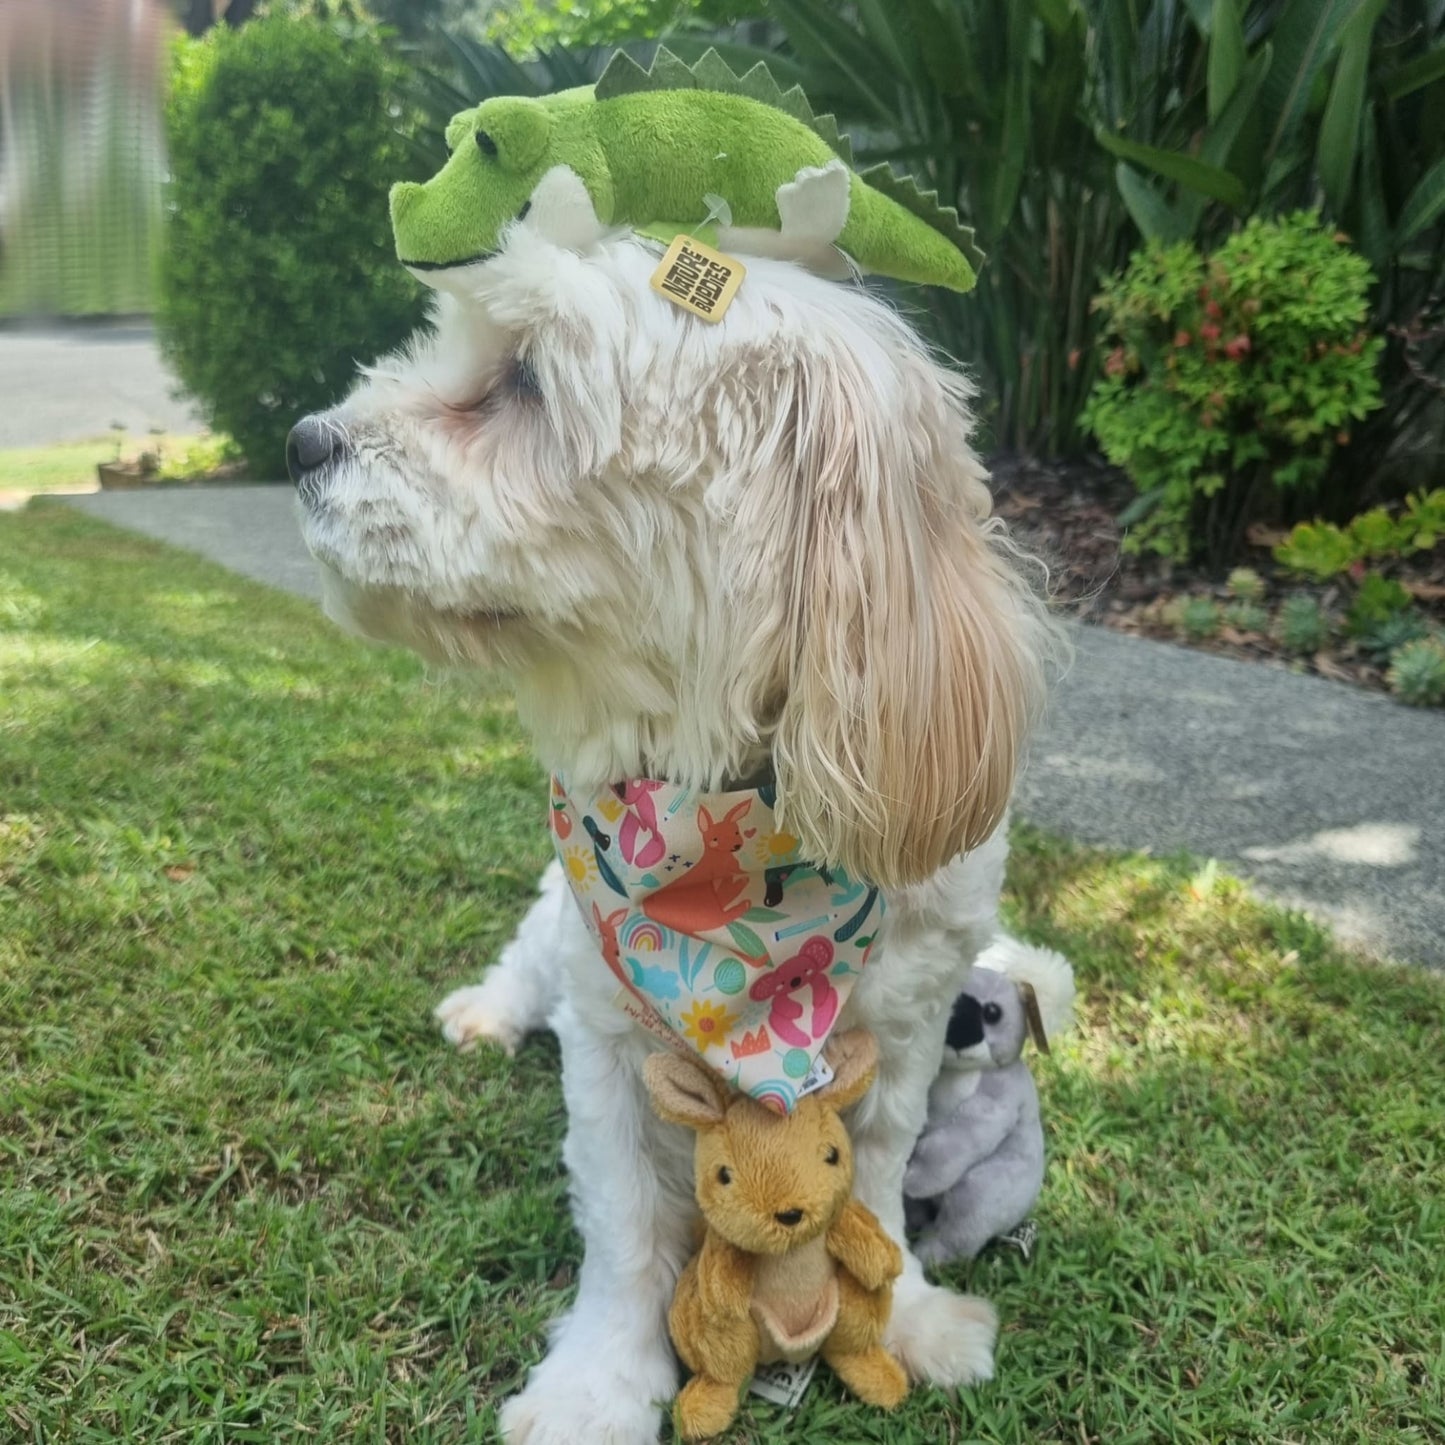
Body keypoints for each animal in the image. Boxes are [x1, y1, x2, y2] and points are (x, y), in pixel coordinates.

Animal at [287, 216, 1057, 1445]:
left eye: (526, 380)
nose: (300, 438)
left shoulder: (897, 1040)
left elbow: (876, 1181)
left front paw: (906, 1318)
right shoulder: (609, 1045)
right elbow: (628, 1226)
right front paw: (596, 1386)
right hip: (558, 927)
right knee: (528, 959)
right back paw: (488, 1011)